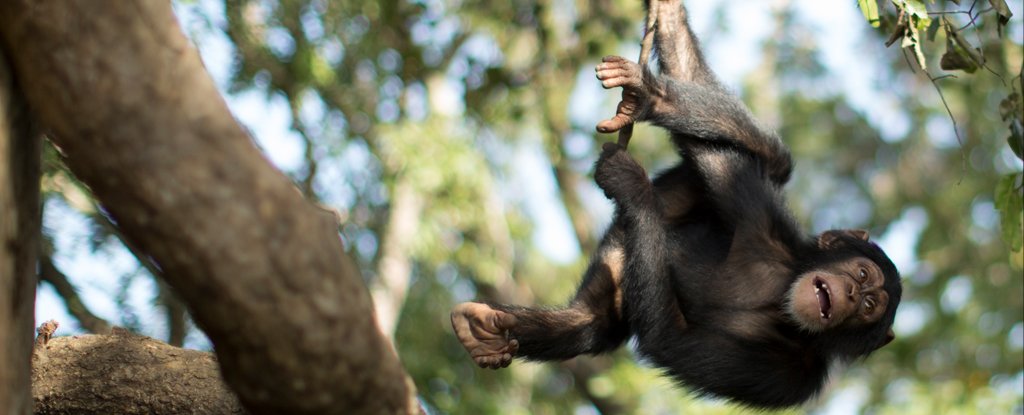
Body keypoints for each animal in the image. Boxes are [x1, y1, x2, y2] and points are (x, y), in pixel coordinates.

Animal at [452, 0, 901, 407]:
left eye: (869, 306)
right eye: (862, 275)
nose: (850, 295)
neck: (783, 290)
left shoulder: (792, 376)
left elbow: (671, 340)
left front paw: (632, 185)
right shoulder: (757, 210)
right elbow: (721, 156)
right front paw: (650, 96)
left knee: (590, 323)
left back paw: (493, 332)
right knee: (769, 157)